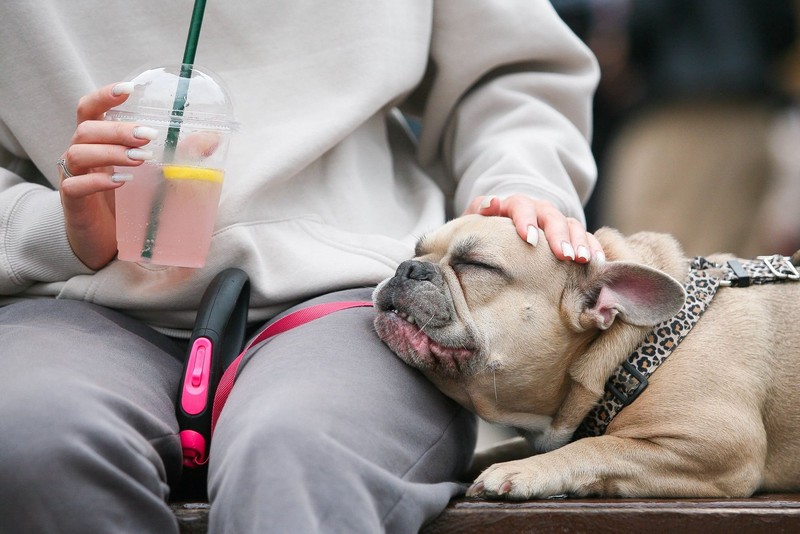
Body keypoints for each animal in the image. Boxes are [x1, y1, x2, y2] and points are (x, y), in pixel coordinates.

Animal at [374, 216, 800, 500]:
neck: (631, 350)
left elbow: (598, 447)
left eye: (477, 265)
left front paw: (522, 470)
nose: (408, 266)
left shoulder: (719, 446)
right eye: (416, 251)